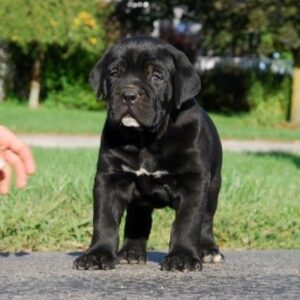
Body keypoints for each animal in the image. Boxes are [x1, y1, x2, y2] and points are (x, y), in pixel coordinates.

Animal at [74, 35, 224, 272]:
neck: (145, 139)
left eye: (156, 76)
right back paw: (131, 253)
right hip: (141, 200)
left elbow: (187, 222)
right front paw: (98, 254)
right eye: (114, 73)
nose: (128, 94)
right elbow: (104, 219)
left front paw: (182, 257)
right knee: (138, 220)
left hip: (213, 186)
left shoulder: (194, 181)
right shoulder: (109, 179)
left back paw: (209, 250)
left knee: (207, 219)